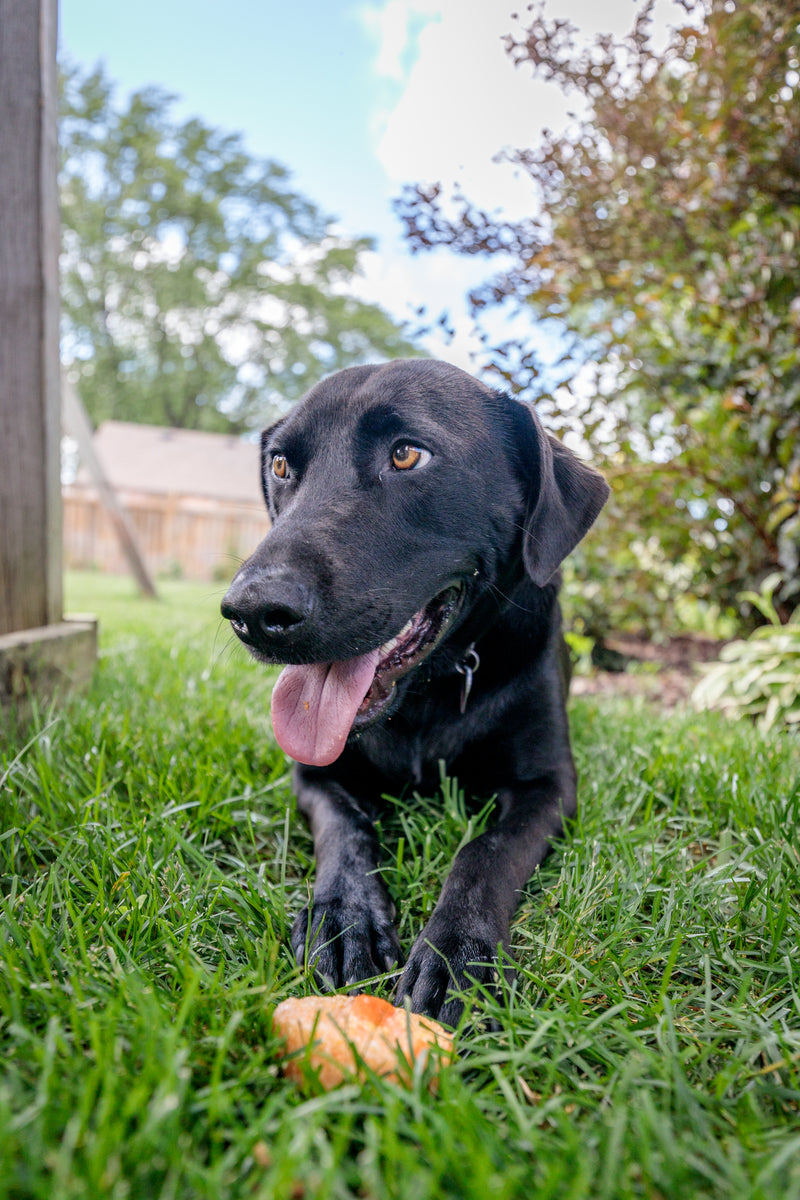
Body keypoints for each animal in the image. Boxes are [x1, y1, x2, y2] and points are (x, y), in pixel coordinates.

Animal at [220, 355, 606, 1022]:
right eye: (281, 466)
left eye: (406, 455)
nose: (252, 612)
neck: (429, 694)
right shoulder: (314, 772)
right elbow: (346, 828)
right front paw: (344, 918)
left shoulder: (550, 784)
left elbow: (486, 852)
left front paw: (457, 953)